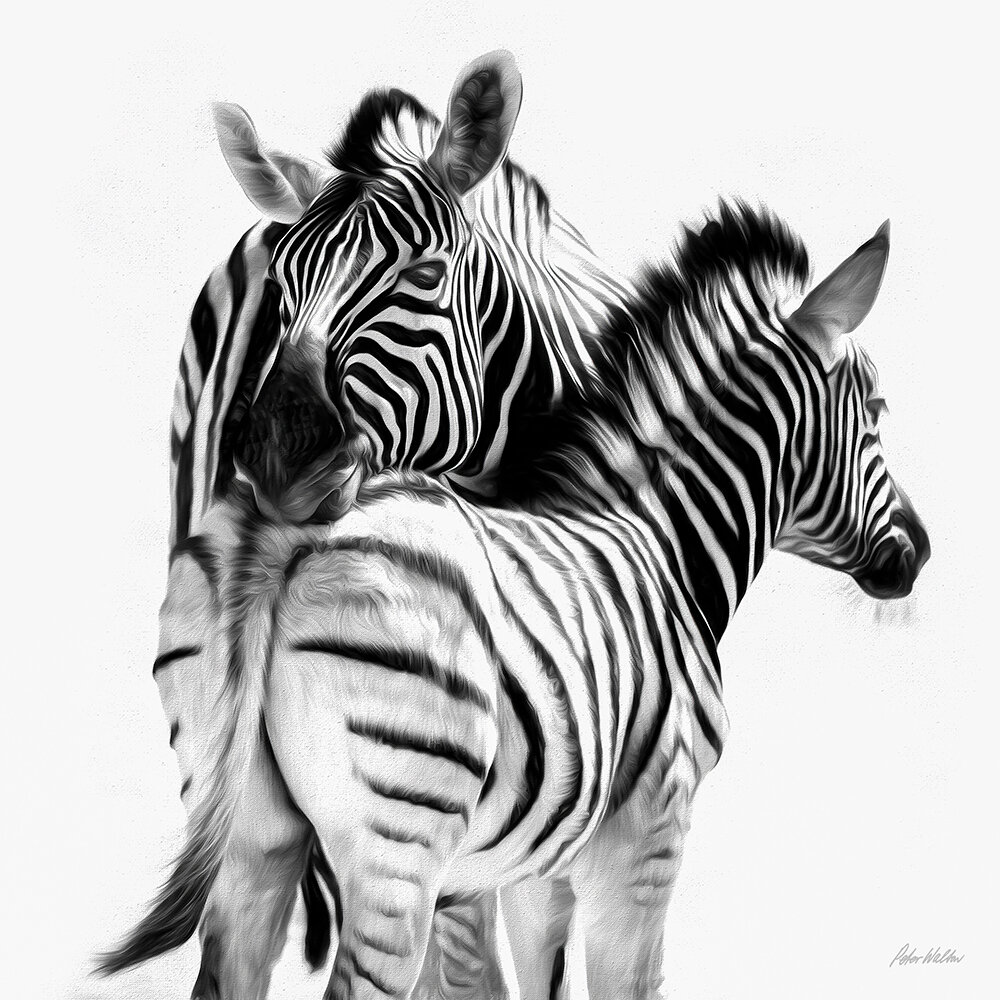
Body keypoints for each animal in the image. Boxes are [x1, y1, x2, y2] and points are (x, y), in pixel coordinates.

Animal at [100, 201, 929, 998]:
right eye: (879, 409)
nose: (918, 552)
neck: (656, 532)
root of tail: (280, 532)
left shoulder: (536, 870)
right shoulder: (646, 841)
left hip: (250, 829)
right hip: (398, 842)